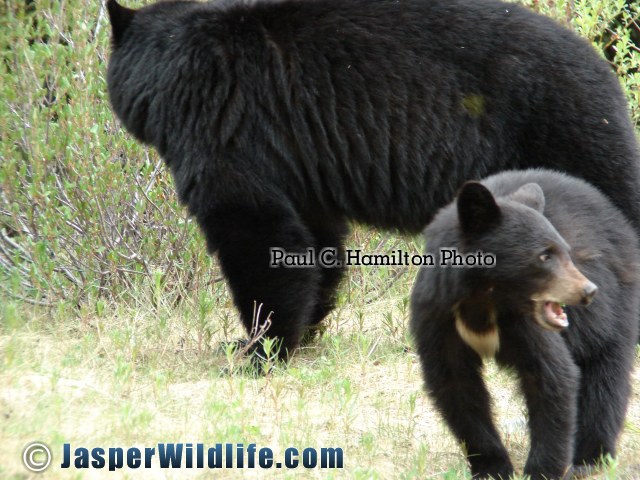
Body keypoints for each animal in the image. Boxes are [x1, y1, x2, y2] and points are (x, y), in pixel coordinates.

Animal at [105, 0, 640, 360]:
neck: (177, 71)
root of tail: (604, 65)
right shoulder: (299, 163)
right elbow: (314, 238)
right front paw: (305, 330)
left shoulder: (227, 133)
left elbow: (255, 229)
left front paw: (259, 347)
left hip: (562, 129)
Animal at [410, 169, 640, 479]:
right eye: (544, 255)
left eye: (566, 251)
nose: (588, 291)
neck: (482, 300)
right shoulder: (436, 316)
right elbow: (456, 385)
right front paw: (492, 467)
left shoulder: (526, 325)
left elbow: (552, 376)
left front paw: (541, 470)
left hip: (616, 304)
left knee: (605, 373)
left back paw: (590, 457)